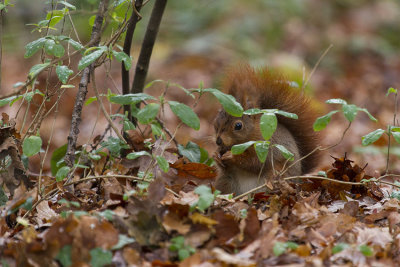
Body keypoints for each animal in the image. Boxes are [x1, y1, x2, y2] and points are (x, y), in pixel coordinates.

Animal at [214, 63, 320, 196]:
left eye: (238, 126)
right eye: (215, 122)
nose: (218, 141)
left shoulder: (266, 147)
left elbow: (255, 162)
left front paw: (231, 156)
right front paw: (216, 155)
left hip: (276, 176)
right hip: (225, 181)